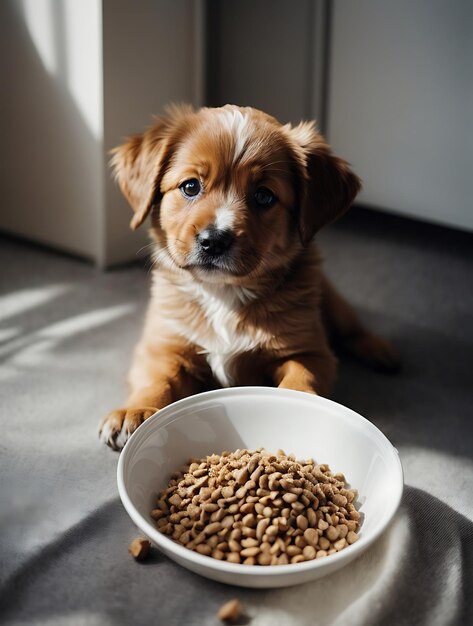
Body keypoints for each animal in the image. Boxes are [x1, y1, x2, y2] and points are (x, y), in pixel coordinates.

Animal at [99, 106, 398, 448]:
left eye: (264, 196)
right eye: (190, 186)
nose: (214, 240)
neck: (223, 295)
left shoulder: (311, 352)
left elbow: (301, 379)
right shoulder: (163, 346)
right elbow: (157, 380)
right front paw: (134, 410)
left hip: (332, 302)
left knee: (352, 329)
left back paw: (381, 351)